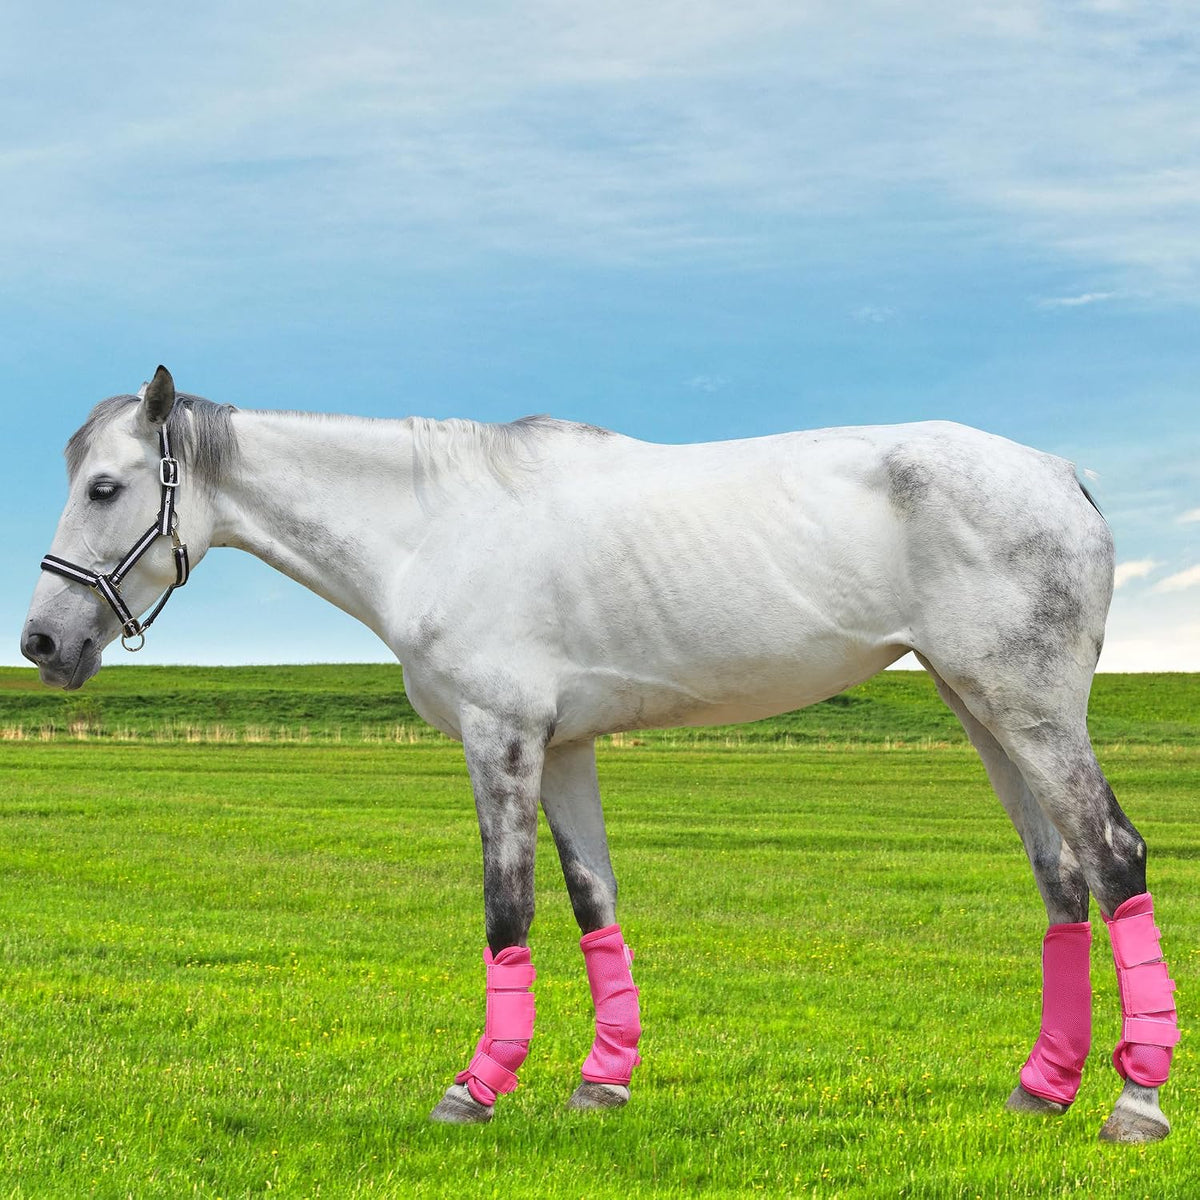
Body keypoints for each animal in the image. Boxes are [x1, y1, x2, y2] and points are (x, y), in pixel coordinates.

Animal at [21, 366, 1178, 1142]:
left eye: (108, 488)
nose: (41, 642)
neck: (436, 526)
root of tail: (1062, 476)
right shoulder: (565, 746)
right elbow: (592, 902)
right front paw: (602, 1081)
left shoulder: (500, 739)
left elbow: (508, 908)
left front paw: (475, 1090)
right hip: (981, 708)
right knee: (1061, 878)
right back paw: (1042, 1090)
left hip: (1030, 708)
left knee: (1113, 857)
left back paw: (1134, 1102)